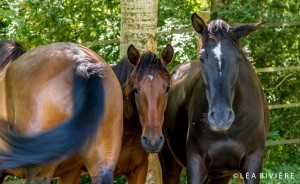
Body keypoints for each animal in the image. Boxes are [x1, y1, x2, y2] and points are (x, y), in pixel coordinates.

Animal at [159, 13, 270, 183]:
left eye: (238, 58)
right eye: (202, 58)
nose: (220, 118)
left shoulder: (253, 163)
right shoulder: (196, 162)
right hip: (169, 161)